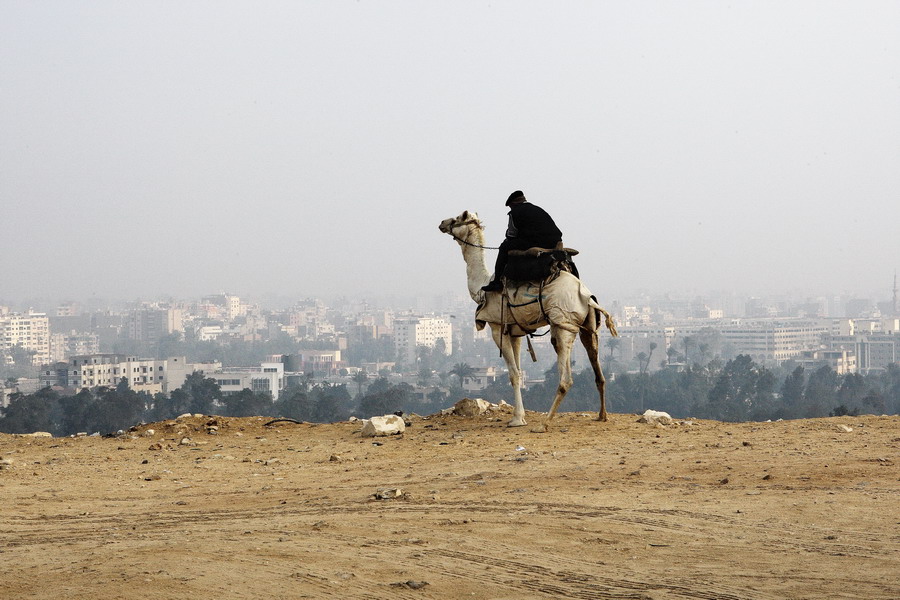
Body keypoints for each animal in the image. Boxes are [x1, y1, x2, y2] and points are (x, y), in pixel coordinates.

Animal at [438, 209, 620, 428]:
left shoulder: (497, 327)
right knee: (598, 372)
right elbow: (517, 370)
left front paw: (516, 420)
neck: (482, 287)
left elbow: (514, 374)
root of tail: (586, 296)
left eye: (457, 219)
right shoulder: (514, 330)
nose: (442, 223)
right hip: (588, 326)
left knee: (566, 377)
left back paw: (545, 423)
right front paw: (520, 416)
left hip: (563, 325)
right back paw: (602, 415)